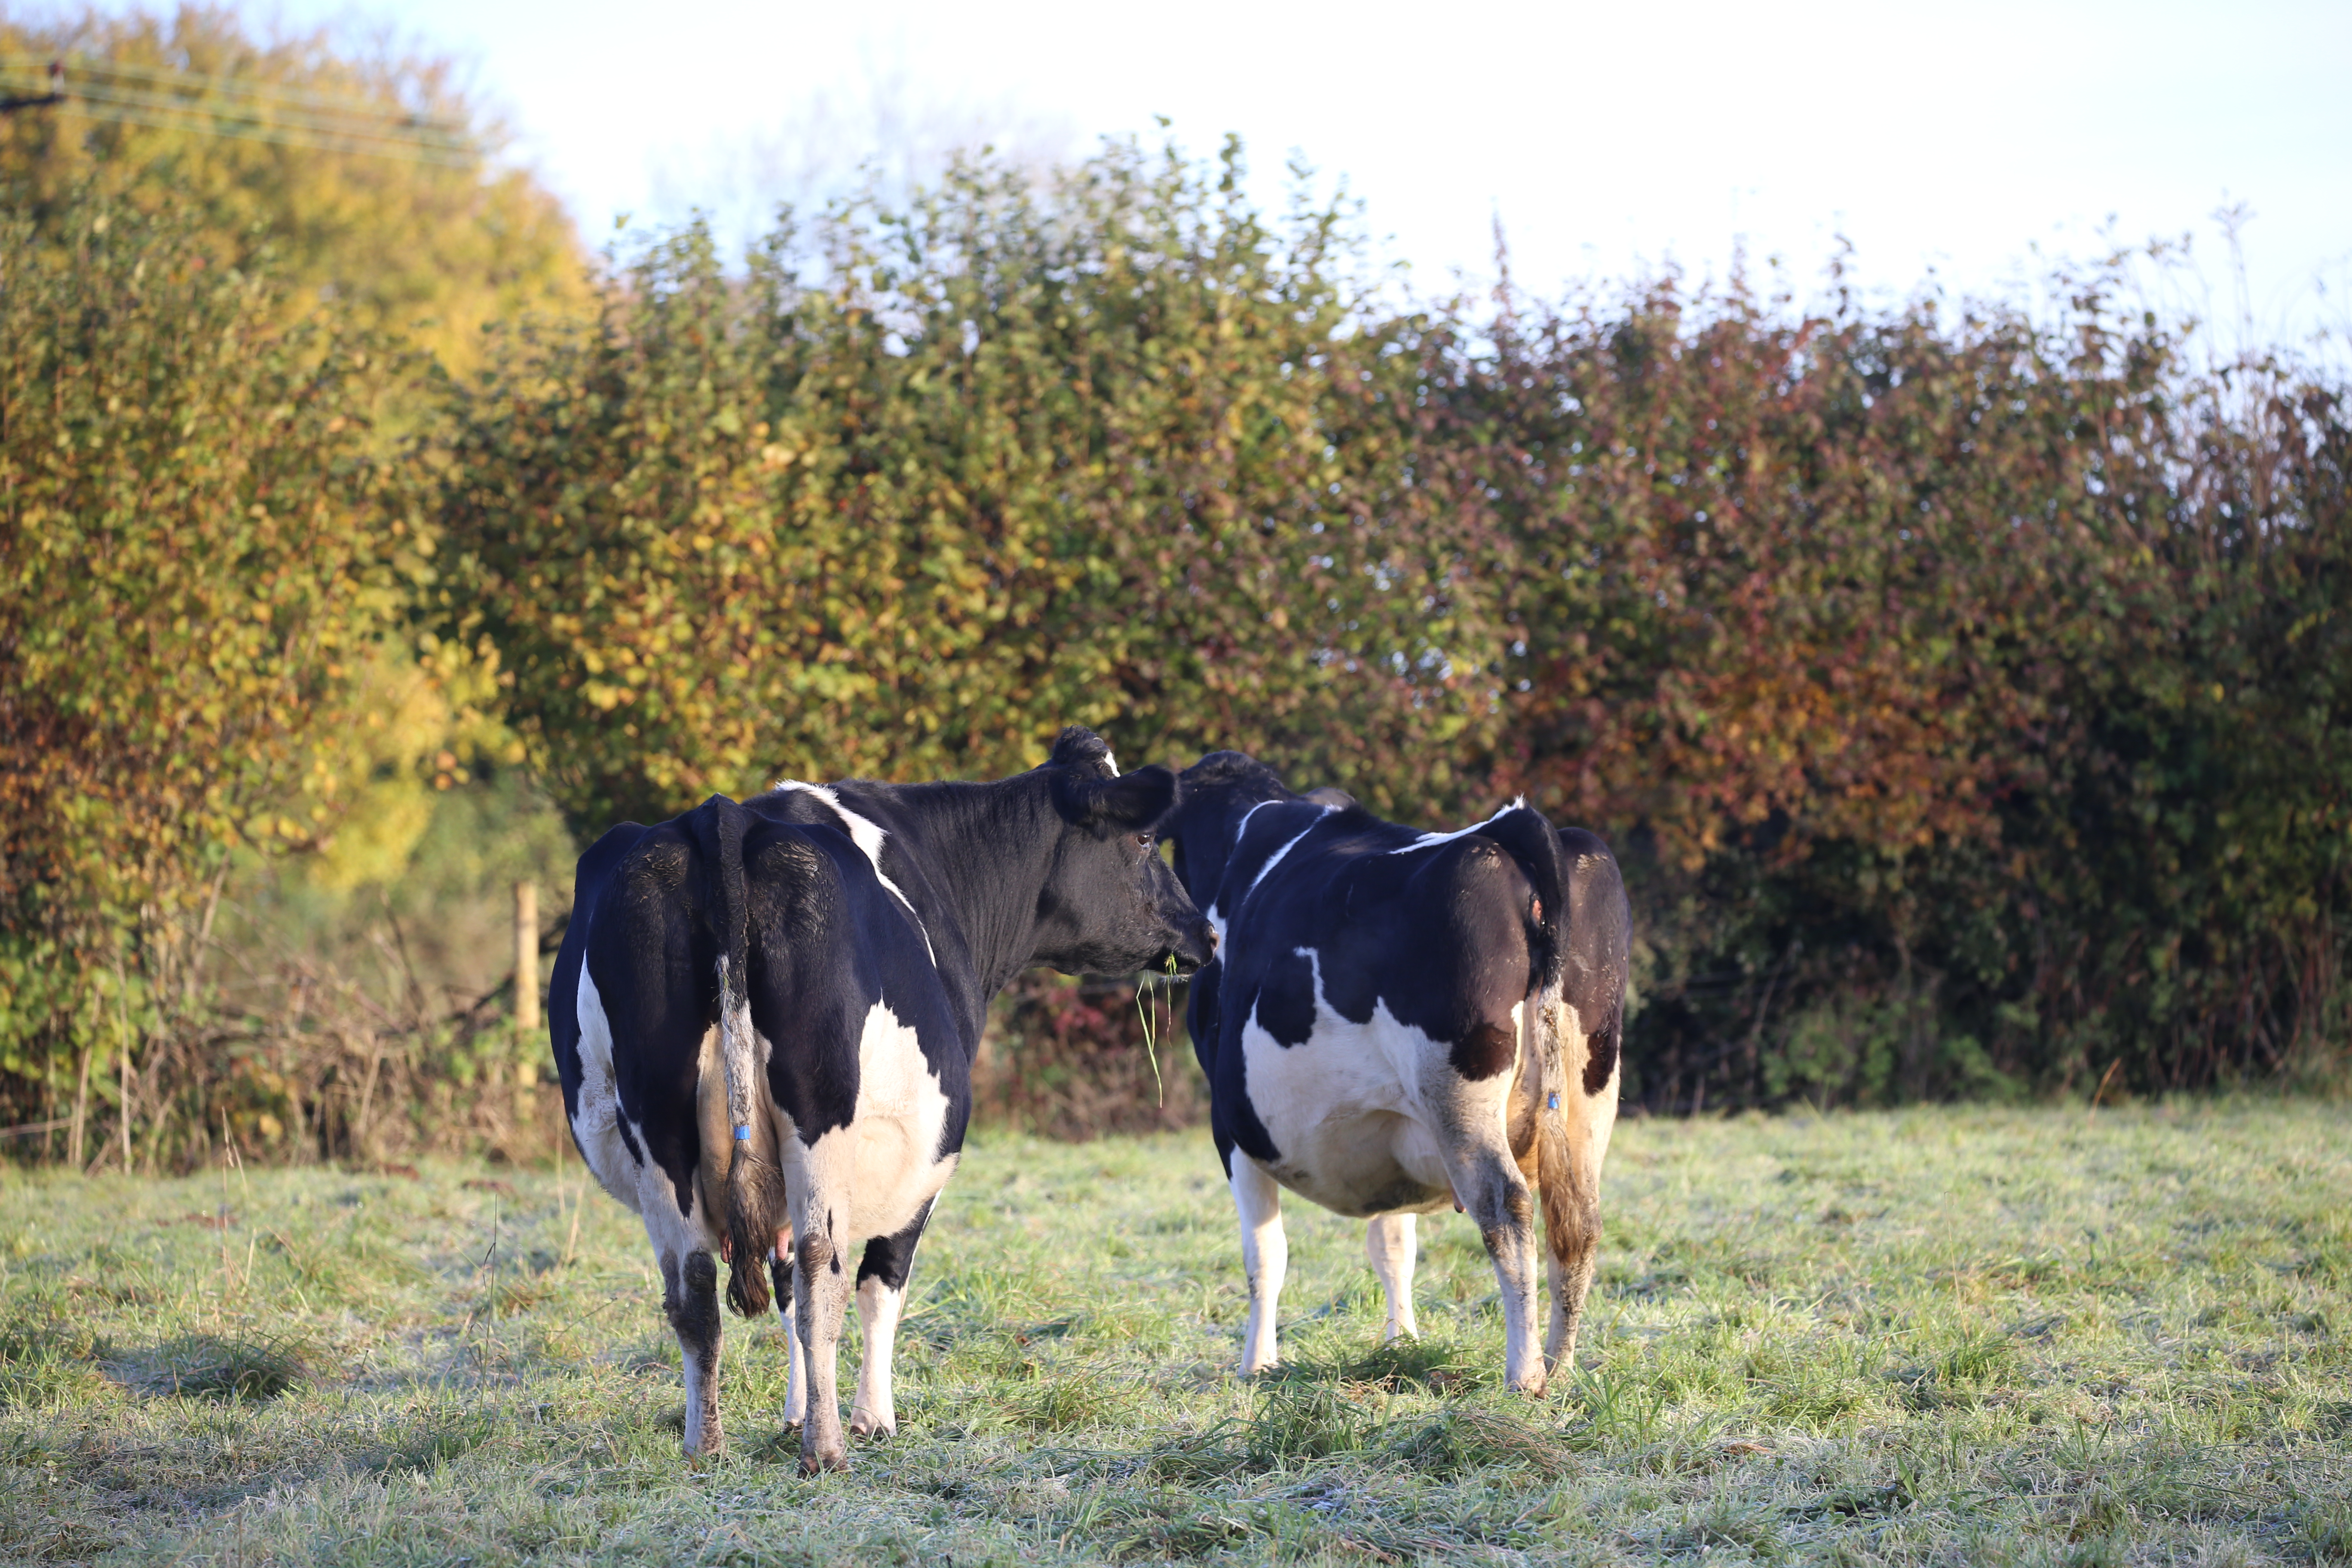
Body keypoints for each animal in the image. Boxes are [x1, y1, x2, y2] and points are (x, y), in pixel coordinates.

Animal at [549, 729, 1215, 1471]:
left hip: (658, 1125)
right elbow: (879, 1282)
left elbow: (784, 1294)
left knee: (694, 1284)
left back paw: (707, 1446)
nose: (1206, 932)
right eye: (1145, 840)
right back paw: (827, 1450)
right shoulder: (927, 1159)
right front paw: (871, 1419)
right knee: (823, 1272)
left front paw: (796, 1412)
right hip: (820, 1117)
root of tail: (723, 817)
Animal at [1162, 751, 1630, 1395]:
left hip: (1459, 1100)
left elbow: (1265, 1256)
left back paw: (1523, 1373)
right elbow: (1393, 1246)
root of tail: (1514, 827)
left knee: (1507, 1208)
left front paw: (1257, 1366)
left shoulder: (1231, 1126)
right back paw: (1560, 1370)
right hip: (1590, 1090)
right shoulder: (1393, 1128)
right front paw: (1401, 1343)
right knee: (1579, 1220)